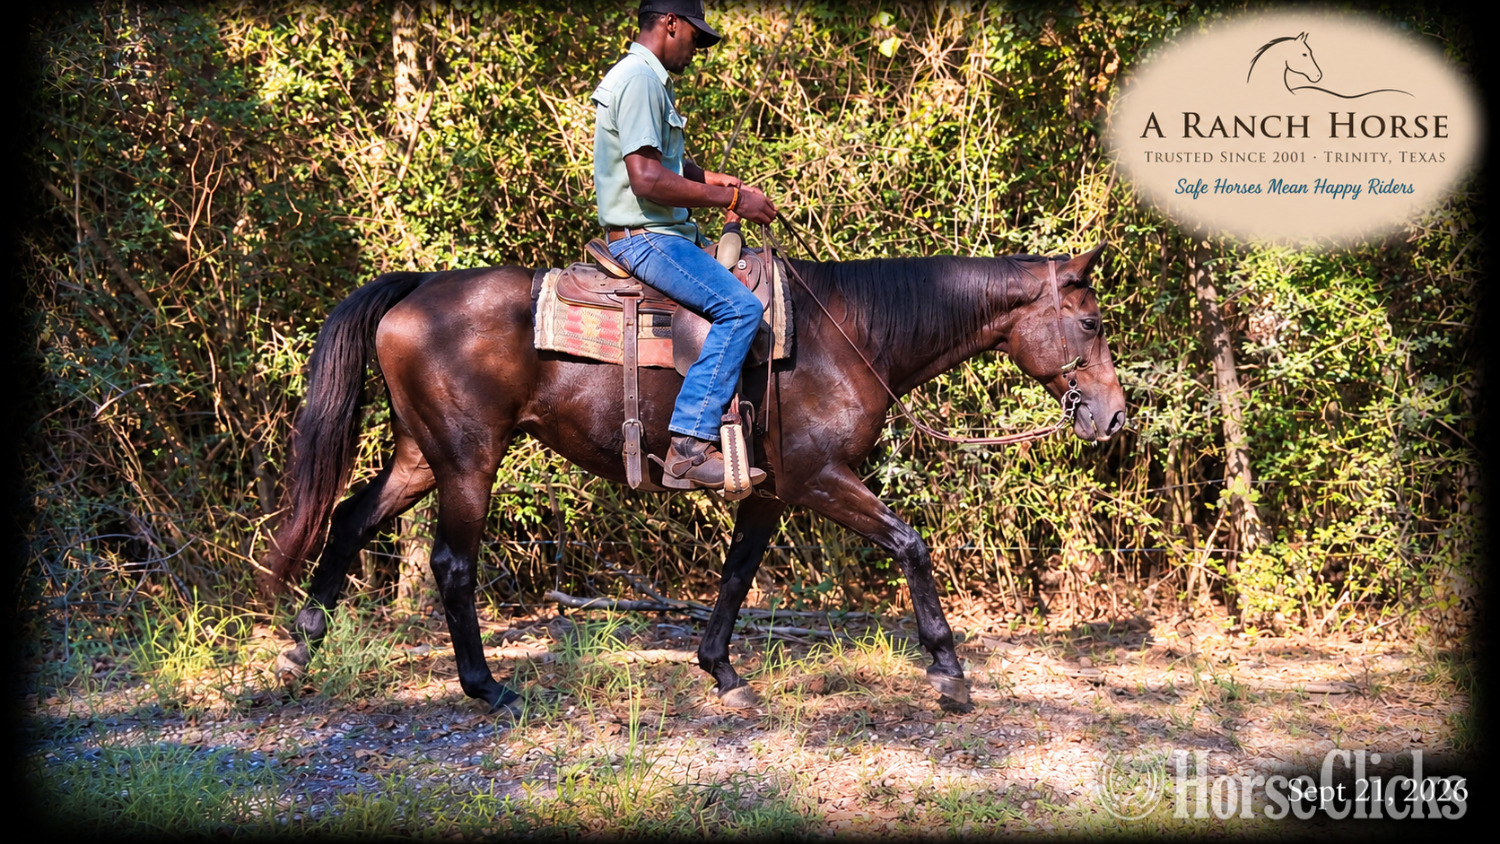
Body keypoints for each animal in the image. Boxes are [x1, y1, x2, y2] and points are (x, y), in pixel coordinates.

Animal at [259, 241, 1128, 713]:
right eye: (1089, 323)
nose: (1115, 417)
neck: (847, 333)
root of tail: (417, 288)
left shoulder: (770, 492)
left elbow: (737, 577)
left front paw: (723, 673)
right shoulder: (818, 478)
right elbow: (910, 544)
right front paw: (949, 673)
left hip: (420, 453)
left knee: (350, 519)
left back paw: (299, 651)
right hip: (469, 459)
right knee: (452, 563)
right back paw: (487, 687)